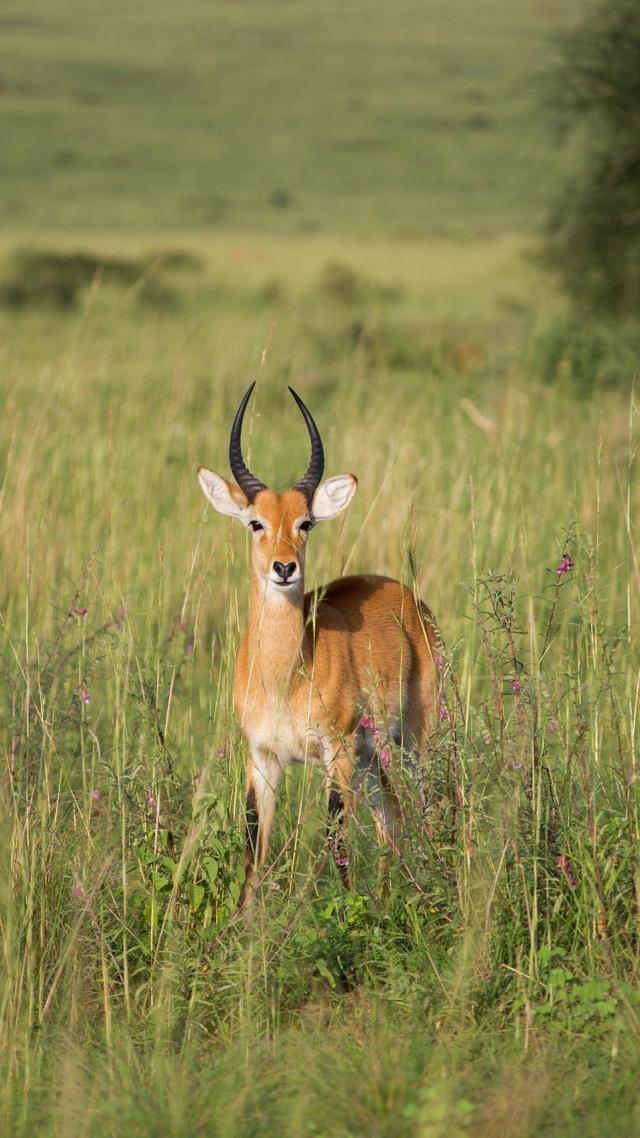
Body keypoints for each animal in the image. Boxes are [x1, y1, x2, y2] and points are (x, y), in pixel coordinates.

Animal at [199, 386, 437, 901]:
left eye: (305, 522)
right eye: (255, 522)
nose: (284, 568)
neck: (284, 674)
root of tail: (407, 596)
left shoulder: (336, 750)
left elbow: (336, 837)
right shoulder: (263, 757)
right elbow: (253, 846)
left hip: (416, 738)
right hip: (371, 757)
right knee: (393, 816)